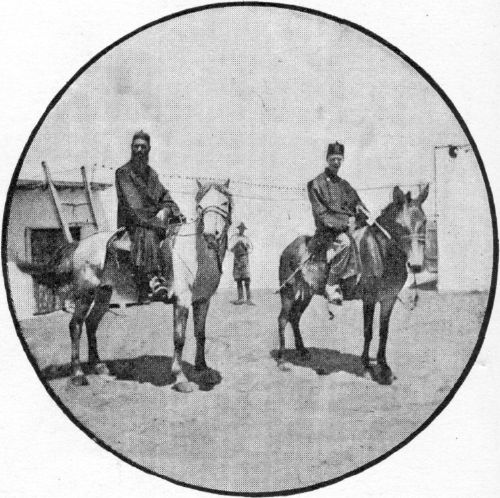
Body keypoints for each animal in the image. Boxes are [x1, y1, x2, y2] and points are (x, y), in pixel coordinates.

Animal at [17, 179, 232, 392]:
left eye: (224, 203)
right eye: (200, 206)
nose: (211, 235)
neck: (195, 254)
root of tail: (79, 245)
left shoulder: (203, 301)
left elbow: (200, 334)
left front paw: (203, 369)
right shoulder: (182, 301)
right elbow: (179, 338)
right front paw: (180, 377)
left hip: (104, 295)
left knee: (91, 323)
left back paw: (98, 366)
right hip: (85, 293)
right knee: (75, 326)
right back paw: (78, 374)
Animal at [278, 185, 430, 384]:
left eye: (424, 222)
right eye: (400, 225)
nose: (416, 265)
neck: (381, 253)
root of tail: (288, 248)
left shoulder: (388, 300)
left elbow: (384, 332)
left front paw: (384, 367)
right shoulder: (369, 299)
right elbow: (368, 331)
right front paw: (366, 366)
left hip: (307, 293)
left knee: (295, 317)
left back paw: (303, 351)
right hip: (288, 293)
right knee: (283, 319)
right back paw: (282, 360)